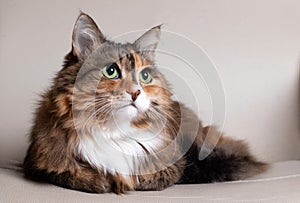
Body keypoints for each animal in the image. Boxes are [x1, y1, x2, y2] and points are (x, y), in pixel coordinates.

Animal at [22, 12, 268, 193]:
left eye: (145, 76)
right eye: (111, 71)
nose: (136, 92)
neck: (114, 131)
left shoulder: (175, 164)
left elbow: (153, 178)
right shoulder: (38, 162)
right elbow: (74, 174)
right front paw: (103, 181)